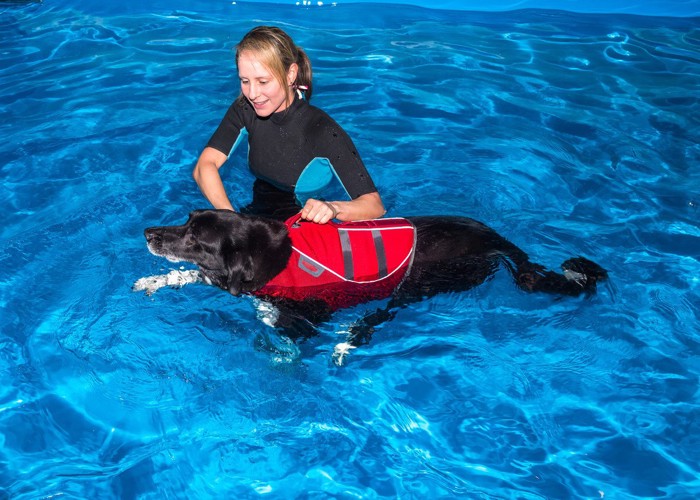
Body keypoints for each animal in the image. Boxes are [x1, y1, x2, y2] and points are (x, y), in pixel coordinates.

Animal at [144, 211, 608, 352]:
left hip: (419, 285)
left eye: (195, 237)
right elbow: (192, 275)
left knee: (381, 317)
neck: (275, 253)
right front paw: (155, 281)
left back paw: (350, 339)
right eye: (187, 220)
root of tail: (496, 239)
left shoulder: (308, 314)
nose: (148, 233)